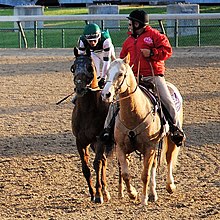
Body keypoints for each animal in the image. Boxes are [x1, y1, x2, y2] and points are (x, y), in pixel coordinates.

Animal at [71, 47, 111, 204]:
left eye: (89, 67)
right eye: (73, 67)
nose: (80, 88)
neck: (88, 111)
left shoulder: (99, 139)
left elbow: (96, 164)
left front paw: (99, 194)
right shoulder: (80, 141)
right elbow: (85, 168)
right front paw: (93, 193)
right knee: (104, 161)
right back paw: (105, 190)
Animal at [102, 54, 183, 205]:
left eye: (120, 74)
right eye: (107, 73)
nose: (106, 94)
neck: (134, 113)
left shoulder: (148, 147)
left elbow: (144, 174)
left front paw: (143, 199)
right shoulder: (121, 148)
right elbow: (126, 174)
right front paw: (133, 194)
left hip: (170, 139)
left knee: (168, 158)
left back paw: (170, 186)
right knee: (154, 166)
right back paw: (152, 193)